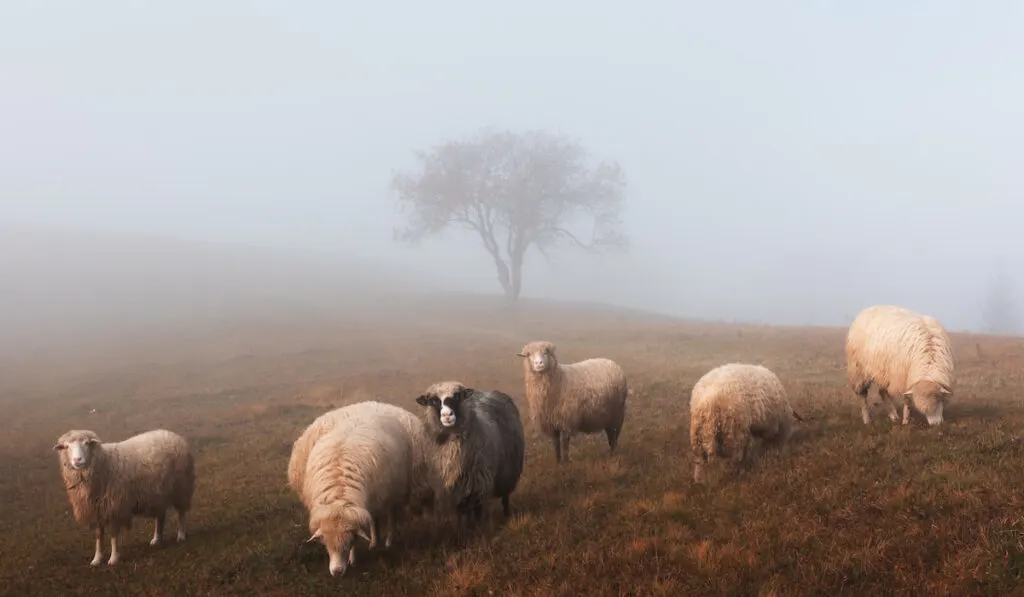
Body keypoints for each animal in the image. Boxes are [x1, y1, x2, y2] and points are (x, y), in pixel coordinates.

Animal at [51, 430, 196, 565]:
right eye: (66, 446)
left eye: (87, 443)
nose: (77, 460)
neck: (104, 464)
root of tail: (173, 435)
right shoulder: (97, 510)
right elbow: (98, 536)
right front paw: (97, 559)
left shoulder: (115, 507)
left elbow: (114, 535)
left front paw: (114, 558)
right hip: (159, 494)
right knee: (160, 516)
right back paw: (156, 539)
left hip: (181, 488)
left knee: (181, 513)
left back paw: (181, 535)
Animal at [299, 409, 415, 577]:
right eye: (325, 543)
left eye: (349, 541)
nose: (337, 572)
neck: (338, 495)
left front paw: (352, 559)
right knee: (374, 519)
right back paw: (374, 542)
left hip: (393, 491)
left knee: (391, 515)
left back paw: (388, 540)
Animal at [411, 382, 524, 528]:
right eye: (434, 400)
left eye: (457, 396)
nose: (447, 415)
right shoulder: (450, 488)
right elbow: (459, 514)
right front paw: (461, 530)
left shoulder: (478, 483)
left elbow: (477, 512)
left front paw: (478, 529)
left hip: (508, 470)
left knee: (505, 497)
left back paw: (507, 515)